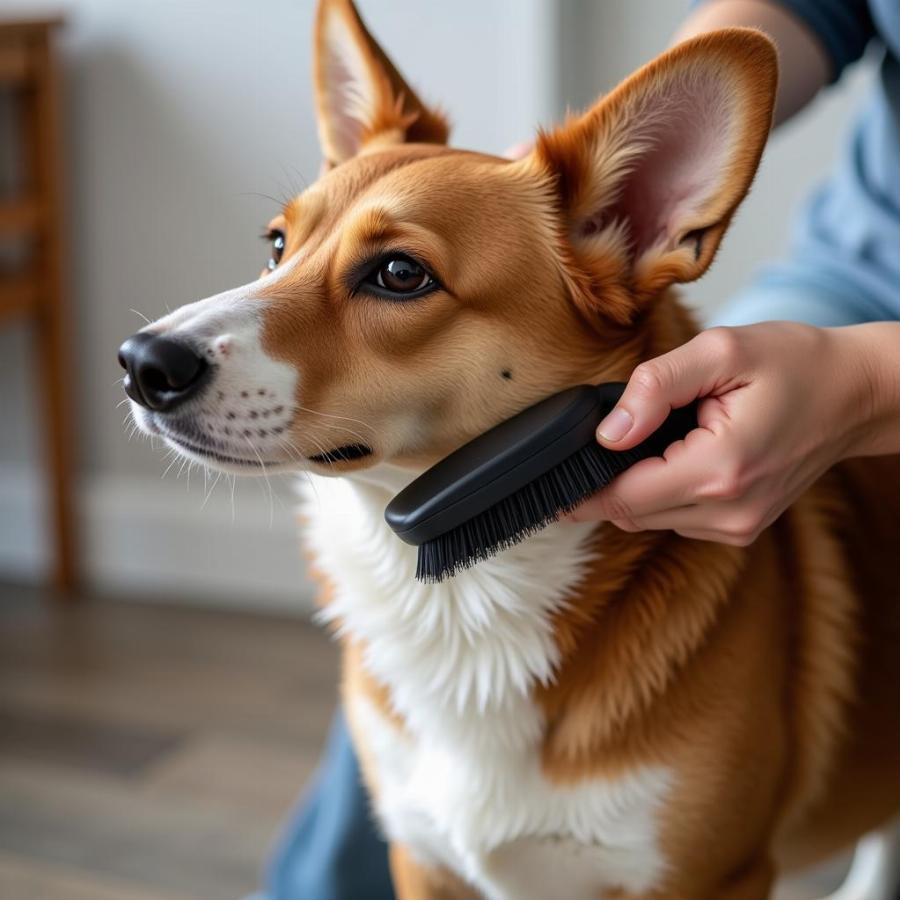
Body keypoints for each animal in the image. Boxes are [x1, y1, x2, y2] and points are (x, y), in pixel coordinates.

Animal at [121, 3, 900, 896]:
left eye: (399, 274)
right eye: (278, 246)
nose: (141, 363)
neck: (463, 597)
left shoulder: (708, 876)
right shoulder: (423, 858)